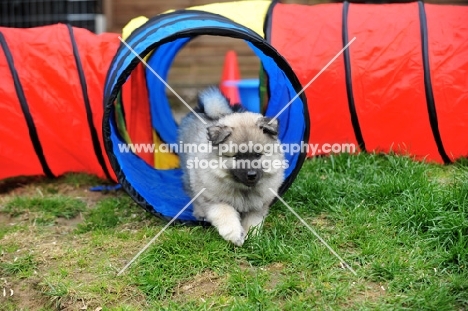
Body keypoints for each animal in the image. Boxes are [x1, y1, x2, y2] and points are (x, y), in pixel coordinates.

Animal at [176, 87, 284, 246]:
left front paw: (252, 237)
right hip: (189, 176)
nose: (251, 175)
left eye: (258, 155)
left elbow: (253, 221)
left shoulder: (258, 205)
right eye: (237, 156)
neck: (244, 189)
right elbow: (226, 214)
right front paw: (235, 235)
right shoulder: (214, 200)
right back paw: (200, 213)